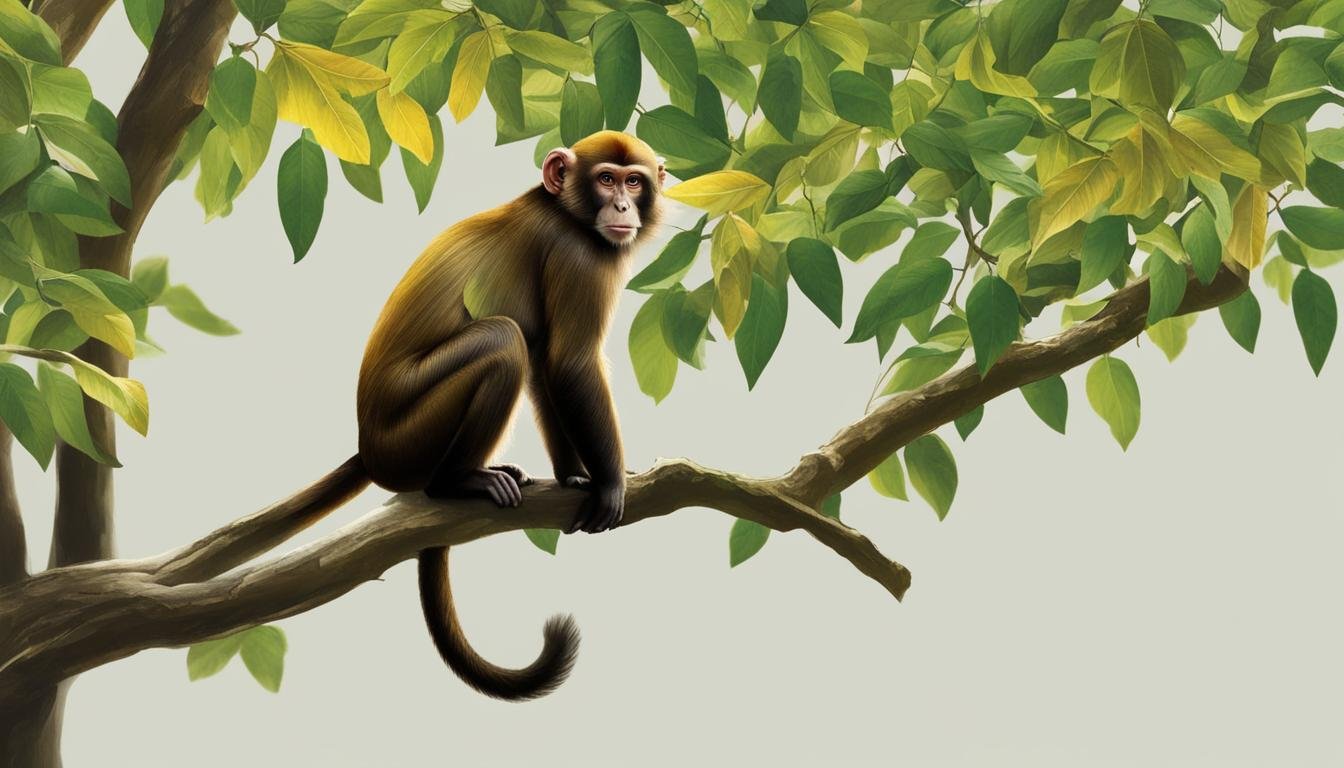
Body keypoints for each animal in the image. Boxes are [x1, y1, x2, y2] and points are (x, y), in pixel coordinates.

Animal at [271, 131, 664, 701]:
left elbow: (547, 366)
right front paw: (610, 483)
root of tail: (368, 448)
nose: (621, 207)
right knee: (502, 341)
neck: (562, 210)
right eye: (607, 179)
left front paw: (574, 475)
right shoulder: (580, 255)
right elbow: (570, 363)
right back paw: (456, 482)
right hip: (409, 440)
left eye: (635, 181)